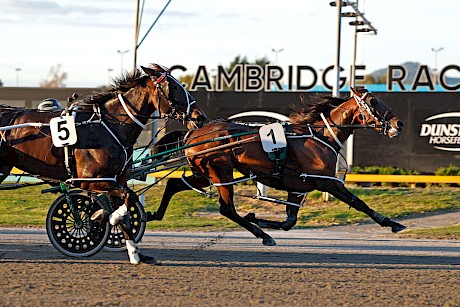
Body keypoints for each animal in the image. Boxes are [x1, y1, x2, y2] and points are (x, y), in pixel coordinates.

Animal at [0, 63, 205, 264]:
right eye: (173, 87)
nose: (199, 116)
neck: (108, 127)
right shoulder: (90, 180)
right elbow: (129, 197)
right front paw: (103, 216)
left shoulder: (117, 180)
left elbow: (126, 209)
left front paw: (134, 252)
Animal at [156, 88, 404, 247]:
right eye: (374, 102)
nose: (398, 123)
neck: (320, 136)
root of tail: (193, 133)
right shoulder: (327, 182)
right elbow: (358, 202)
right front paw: (391, 223)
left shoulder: (298, 188)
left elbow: (289, 222)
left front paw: (255, 216)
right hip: (220, 172)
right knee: (227, 209)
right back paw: (263, 235)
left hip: (204, 173)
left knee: (175, 183)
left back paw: (154, 215)